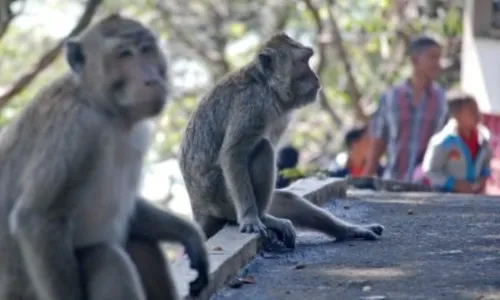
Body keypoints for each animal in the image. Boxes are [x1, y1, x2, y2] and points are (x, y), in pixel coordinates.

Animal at [0, 13, 209, 300]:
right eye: (124, 54)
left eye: (146, 49)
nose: (151, 79)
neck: (104, 109)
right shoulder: (76, 131)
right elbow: (37, 219)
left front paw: (189, 235)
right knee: (107, 258)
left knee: (139, 244)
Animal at [178, 32, 384, 248]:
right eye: (303, 61)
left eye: (308, 59)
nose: (316, 77)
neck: (266, 85)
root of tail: (198, 208)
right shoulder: (252, 103)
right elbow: (233, 154)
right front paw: (250, 218)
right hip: (224, 201)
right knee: (263, 148)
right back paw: (263, 217)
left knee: (289, 199)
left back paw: (347, 231)